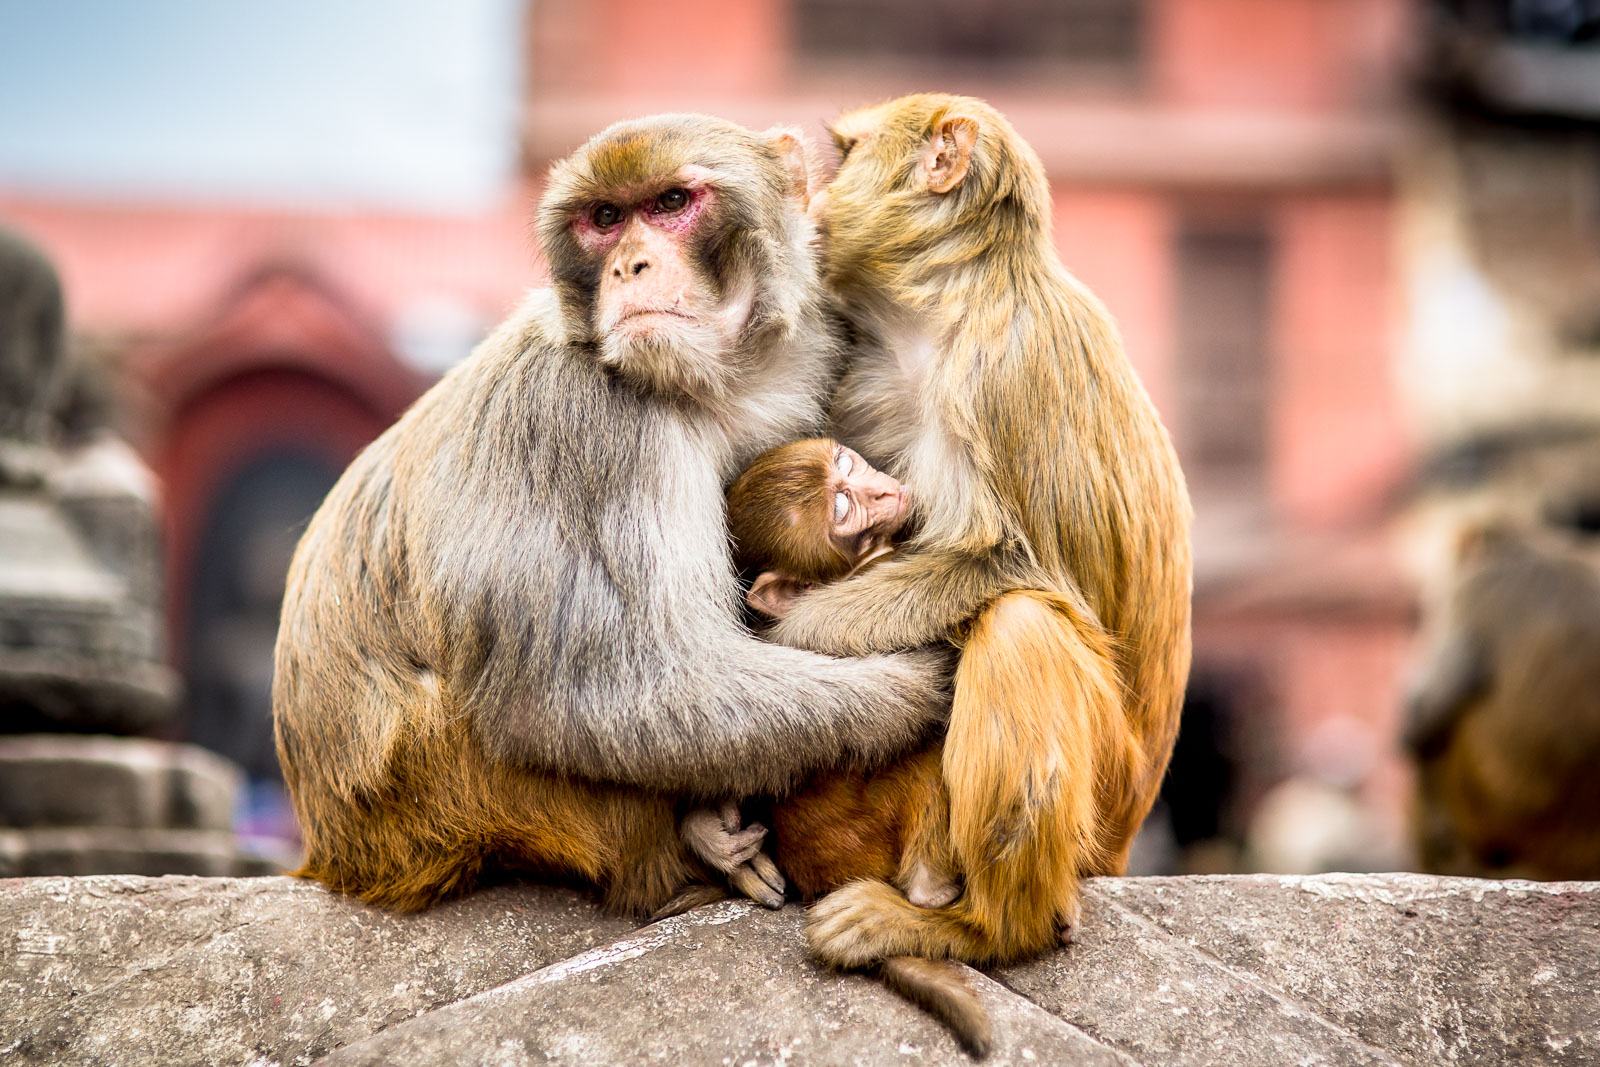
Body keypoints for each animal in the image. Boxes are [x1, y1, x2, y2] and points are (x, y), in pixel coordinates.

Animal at [271, 114, 953, 922]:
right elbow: (606, 697)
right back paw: (684, 864)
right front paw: (923, 682)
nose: (629, 265)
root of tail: (334, 852)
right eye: (604, 218)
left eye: (670, 202)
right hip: (428, 793)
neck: (719, 384)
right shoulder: (589, 420)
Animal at [762, 94, 1193, 972]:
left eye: (846, 156)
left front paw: (797, 631)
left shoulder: (1001, 371)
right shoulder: (873, 374)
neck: (953, 303)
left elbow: (1016, 564)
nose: (816, 205)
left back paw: (978, 925)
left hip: (1104, 797)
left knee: (1022, 625)